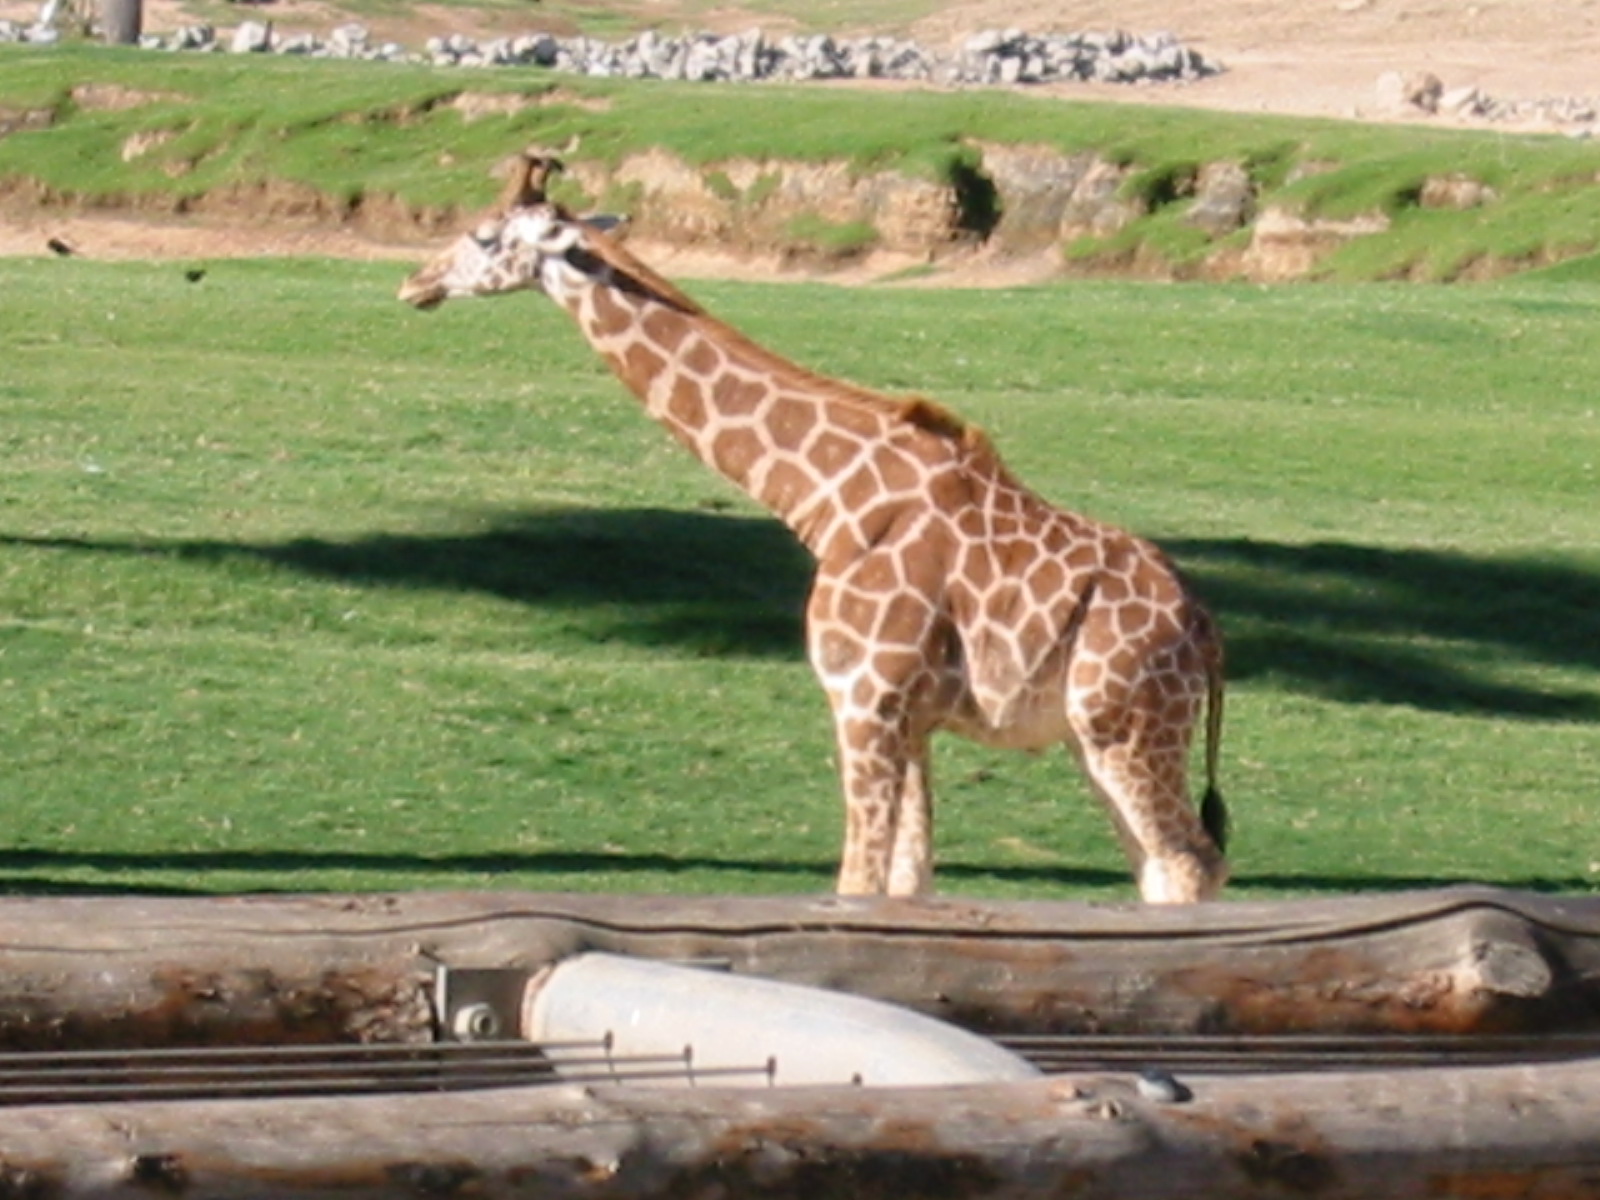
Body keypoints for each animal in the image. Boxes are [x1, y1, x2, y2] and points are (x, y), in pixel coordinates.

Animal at [399, 151, 1230, 903]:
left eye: (483, 236)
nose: (414, 283)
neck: (824, 499)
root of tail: (1205, 627)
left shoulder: (863, 695)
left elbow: (855, 880)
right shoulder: (911, 717)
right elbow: (906, 883)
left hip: (1124, 724)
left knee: (1186, 863)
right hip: (1097, 737)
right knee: (1166, 869)